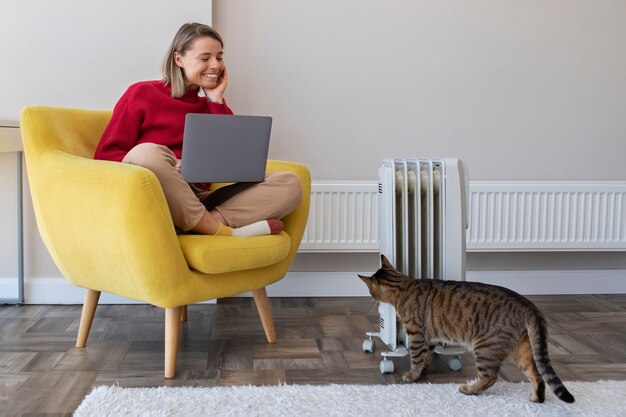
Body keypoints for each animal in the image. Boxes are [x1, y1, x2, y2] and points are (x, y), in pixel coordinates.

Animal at [358, 254, 572, 404]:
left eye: (369, 290)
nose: (370, 296)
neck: (404, 286)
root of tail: (528, 305)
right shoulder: (431, 337)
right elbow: (427, 355)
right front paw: (423, 371)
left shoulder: (417, 333)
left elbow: (417, 357)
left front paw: (412, 375)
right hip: (522, 350)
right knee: (537, 375)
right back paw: (536, 398)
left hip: (485, 348)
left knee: (490, 377)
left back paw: (469, 390)